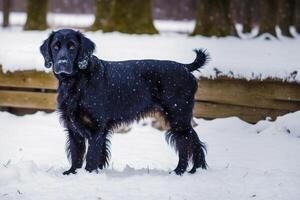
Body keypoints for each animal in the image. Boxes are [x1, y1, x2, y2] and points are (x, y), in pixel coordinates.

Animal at [40, 28, 209, 175]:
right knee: (192, 142)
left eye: (72, 46)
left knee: (186, 143)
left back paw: (181, 171)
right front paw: (72, 173)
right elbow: (76, 153)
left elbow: (91, 155)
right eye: (55, 46)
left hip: (178, 117)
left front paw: (88, 174)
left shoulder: (96, 127)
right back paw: (193, 170)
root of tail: (185, 68)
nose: (62, 63)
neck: (77, 81)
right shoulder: (73, 127)